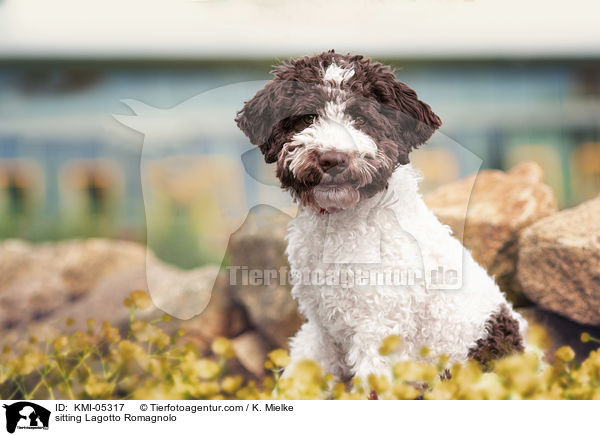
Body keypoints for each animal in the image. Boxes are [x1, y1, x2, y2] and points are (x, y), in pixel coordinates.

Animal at [234, 50, 524, 378]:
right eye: (308, 117)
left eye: (361, 119)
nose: (332, 159)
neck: (343, 226)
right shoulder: (321, 329)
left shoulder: (379, 331)